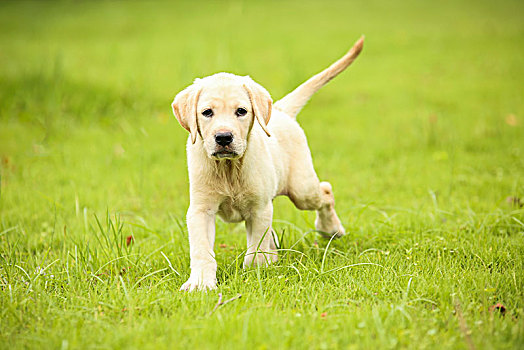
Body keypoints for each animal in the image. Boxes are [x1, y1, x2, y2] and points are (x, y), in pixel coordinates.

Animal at [172, 37, 364, 292]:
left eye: (241, 111)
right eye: (207, 112)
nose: (223, 138)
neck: (229, 168)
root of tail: (281, 111)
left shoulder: (259, 208)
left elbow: (256, 247)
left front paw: (255, 272)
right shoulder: (201, 209)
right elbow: (202, 249)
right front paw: (201, 283)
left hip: (302, 189)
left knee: (325, 190)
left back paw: (330, 228)